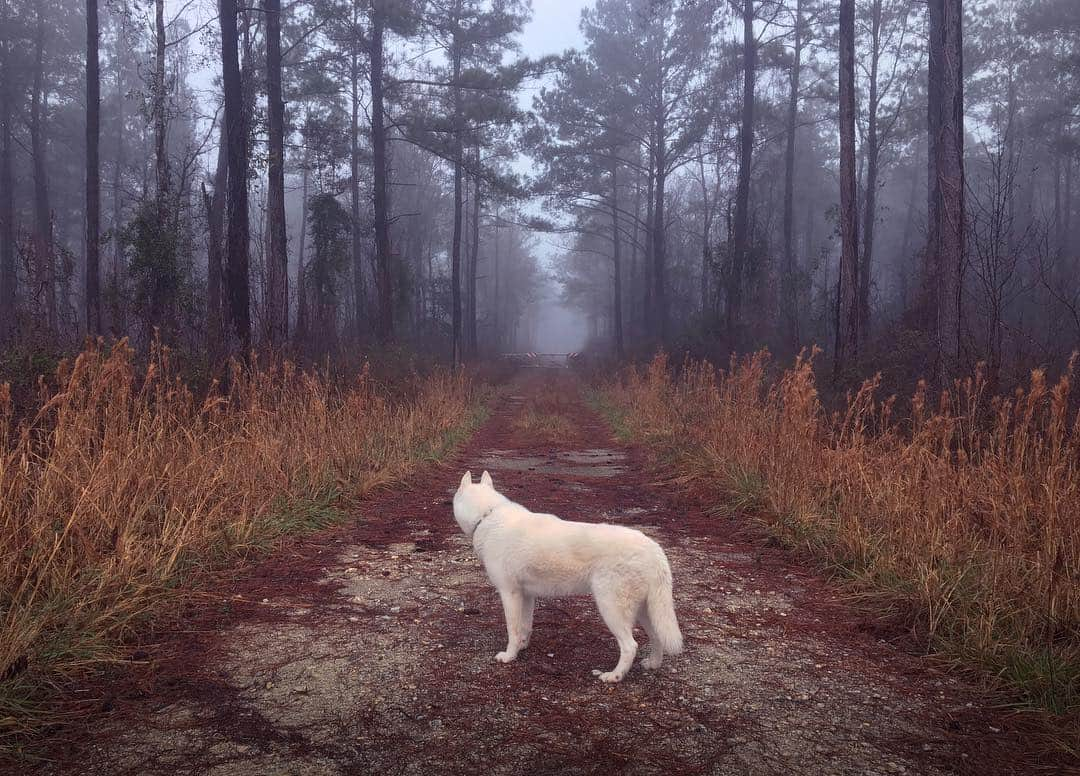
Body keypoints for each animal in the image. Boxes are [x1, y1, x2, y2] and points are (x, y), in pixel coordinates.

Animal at [451, 470, 678, 682]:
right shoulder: (527, 596)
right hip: (644, 611)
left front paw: (509, 656)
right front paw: (522, 647)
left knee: (631, 646)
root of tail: (654, 549)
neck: (487, 515)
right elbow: (525, 627)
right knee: (656, 637)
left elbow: (513, 630)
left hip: (611, 609)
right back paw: (652, 664)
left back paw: (614, 676)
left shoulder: (510, 594)